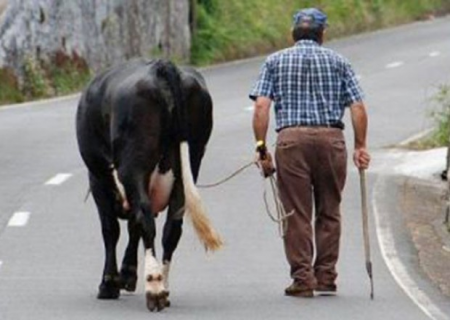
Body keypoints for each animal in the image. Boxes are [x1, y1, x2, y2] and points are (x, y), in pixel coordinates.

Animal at [76, 58, 223, 312]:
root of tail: (160, 66)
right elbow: (132, 227)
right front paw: (127, 275)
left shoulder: (98, 178)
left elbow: (111, 230)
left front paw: (109, 284)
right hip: (190, 161)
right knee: (172, 227)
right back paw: (163, 286)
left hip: (133, 163)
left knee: (144, 216)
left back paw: (154, 289)